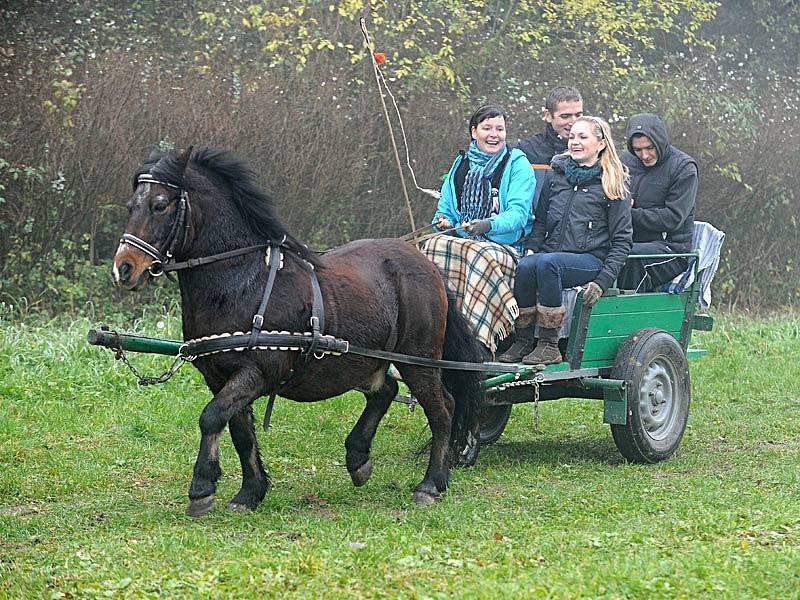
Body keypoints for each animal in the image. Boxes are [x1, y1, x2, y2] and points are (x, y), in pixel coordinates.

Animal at [112, 145, 484, 516]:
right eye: (131, 206)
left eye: (161, 204)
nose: (124, 269)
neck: (242, 282)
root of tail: (425, 262)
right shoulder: (218, 376)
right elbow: (239, 431)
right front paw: (250, 492)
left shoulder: (258, 371)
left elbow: (211, 416)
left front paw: (202, 487)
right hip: (366, 360)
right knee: (386, 390)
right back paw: (359, 458)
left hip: (417, 358)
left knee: (442, 409)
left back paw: (431, 483)